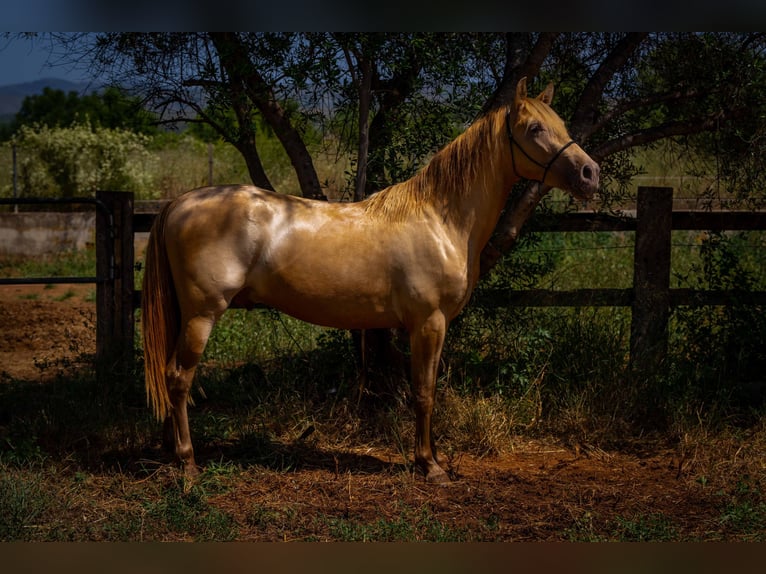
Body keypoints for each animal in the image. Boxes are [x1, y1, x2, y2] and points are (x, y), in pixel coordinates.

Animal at [141, 77, 600, 483]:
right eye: (535, 128)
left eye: (561, 124)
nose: (590, 173)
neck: (441, 218)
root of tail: (180, 202)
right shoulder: (428, 323)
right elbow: (423, 392)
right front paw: (429, 467)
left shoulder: (430, 325)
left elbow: (427, 390)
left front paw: (430, 460)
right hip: (202, 315)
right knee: (179, 378)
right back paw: (187, 463)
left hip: (185, 315)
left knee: (168, 375)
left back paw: (170, 452)